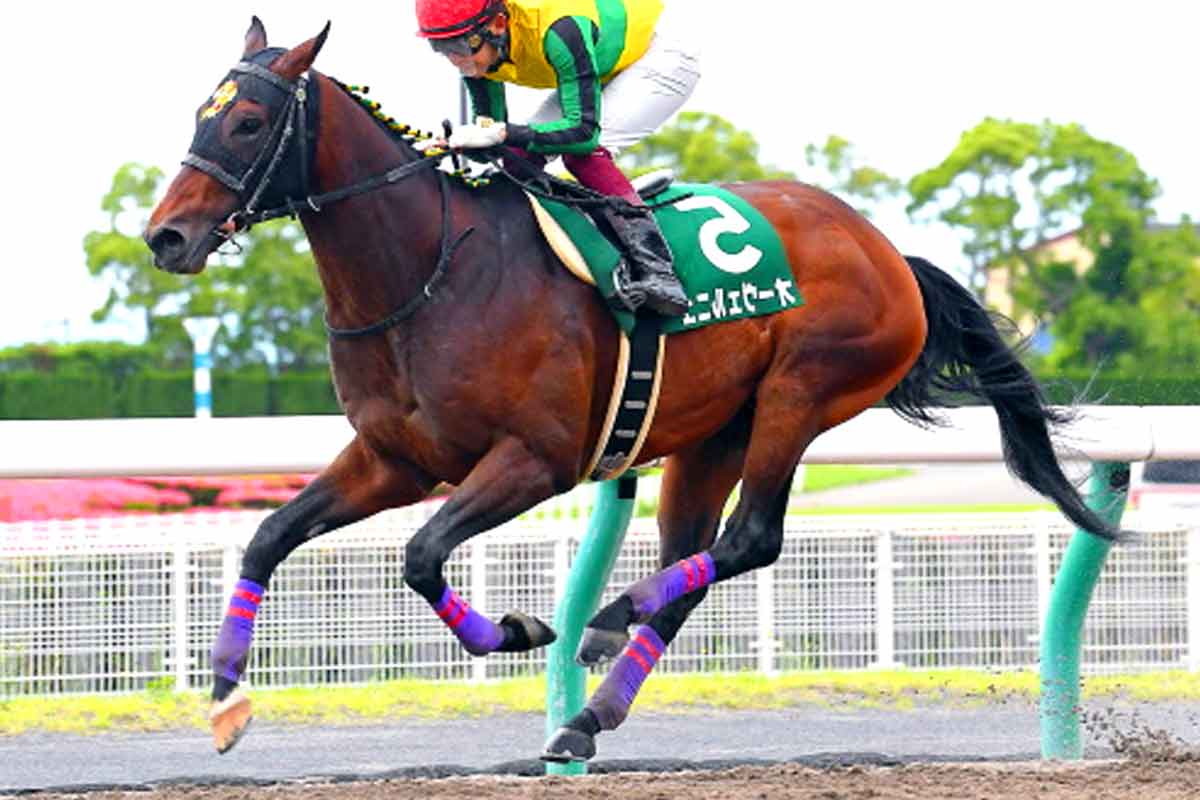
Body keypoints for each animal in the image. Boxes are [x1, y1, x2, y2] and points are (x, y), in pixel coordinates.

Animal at [144, 18, 1119, 762]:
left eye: (249, 122)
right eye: (200, 113)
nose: (166, 238)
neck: (430, 270)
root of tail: (886, 250)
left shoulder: (534, 460)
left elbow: (420, 555)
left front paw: (522, 631)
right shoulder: (394, 459)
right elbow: (269, 536)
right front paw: (226, 700)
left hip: (802, 393)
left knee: (752, 538)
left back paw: (609, 617)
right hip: (714, 433)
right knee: (696, 558)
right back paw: (587, 713)